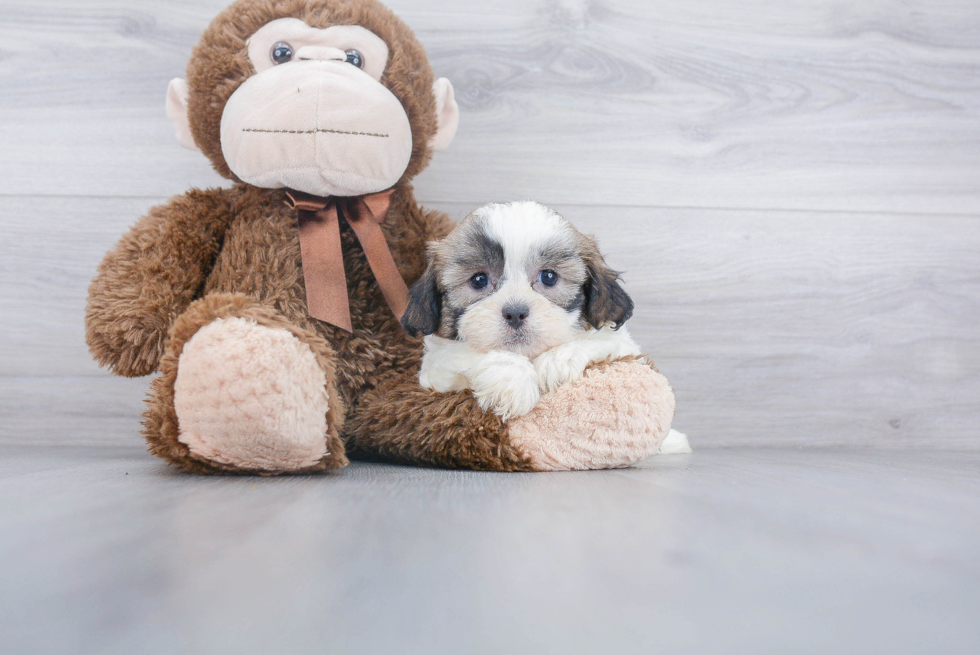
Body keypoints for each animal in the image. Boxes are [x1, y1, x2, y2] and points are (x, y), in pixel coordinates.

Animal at [400, 200, 640, 422]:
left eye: (549, 277)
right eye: (479, 280)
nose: (515, 313)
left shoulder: (624, 346)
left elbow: (602, 339)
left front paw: (558, 359)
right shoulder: (435, 366)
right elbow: (463, 353)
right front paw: (512, 380)